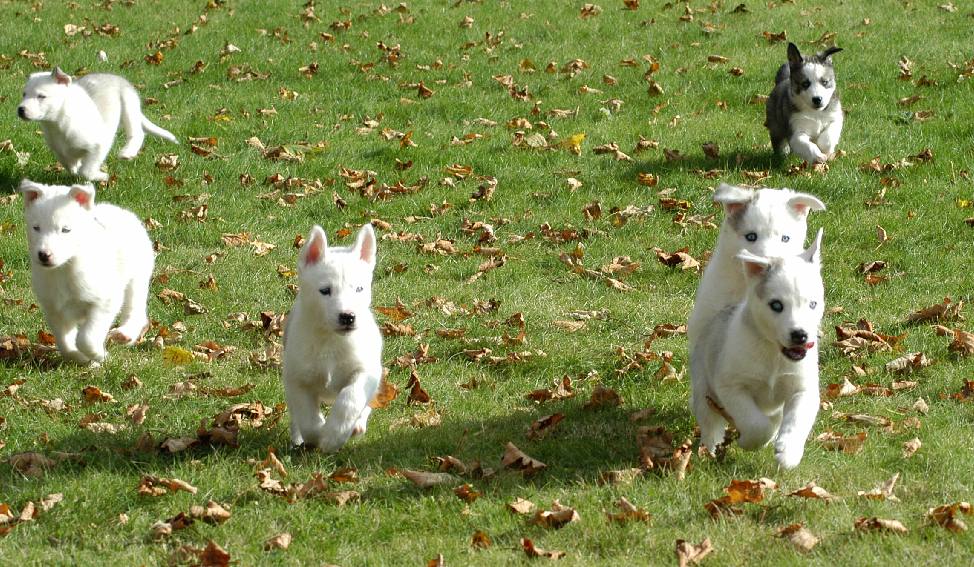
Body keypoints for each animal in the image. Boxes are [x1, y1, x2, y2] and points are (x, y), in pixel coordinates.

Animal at [17, 68, 177, 182]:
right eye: (24, 94)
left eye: (41, 96)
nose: (20, 110)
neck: (57, 123)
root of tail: (117, 78)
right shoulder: (59, 151)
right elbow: (71, 165)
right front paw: (77, 170)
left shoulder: (99, 145)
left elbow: (86, 171)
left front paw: (102, 176)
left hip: (128, 105)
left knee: (137, 133)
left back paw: (127, 152)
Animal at [18, 180, 154, 366]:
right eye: (36, 227)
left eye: (66, 229)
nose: (44, 255)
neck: (64, 269)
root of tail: (122, 211)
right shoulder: (54, 310)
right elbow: (65, 344)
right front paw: (82, 358)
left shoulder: (104, 301)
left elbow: (85, 338)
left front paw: (99, 355)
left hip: (137, 277)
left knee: (135, 310)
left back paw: (124, 333)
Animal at [692, 231, 824, 470]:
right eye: (776, 305)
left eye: (813, 304)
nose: (800, 335)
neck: (773, 354)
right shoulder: (731, 387)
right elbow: (756, 424)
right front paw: (748, 441)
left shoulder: (803, 389)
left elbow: (796, 421)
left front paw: (788, 452)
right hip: (704, 389)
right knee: (710, 423)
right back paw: (709, 450)